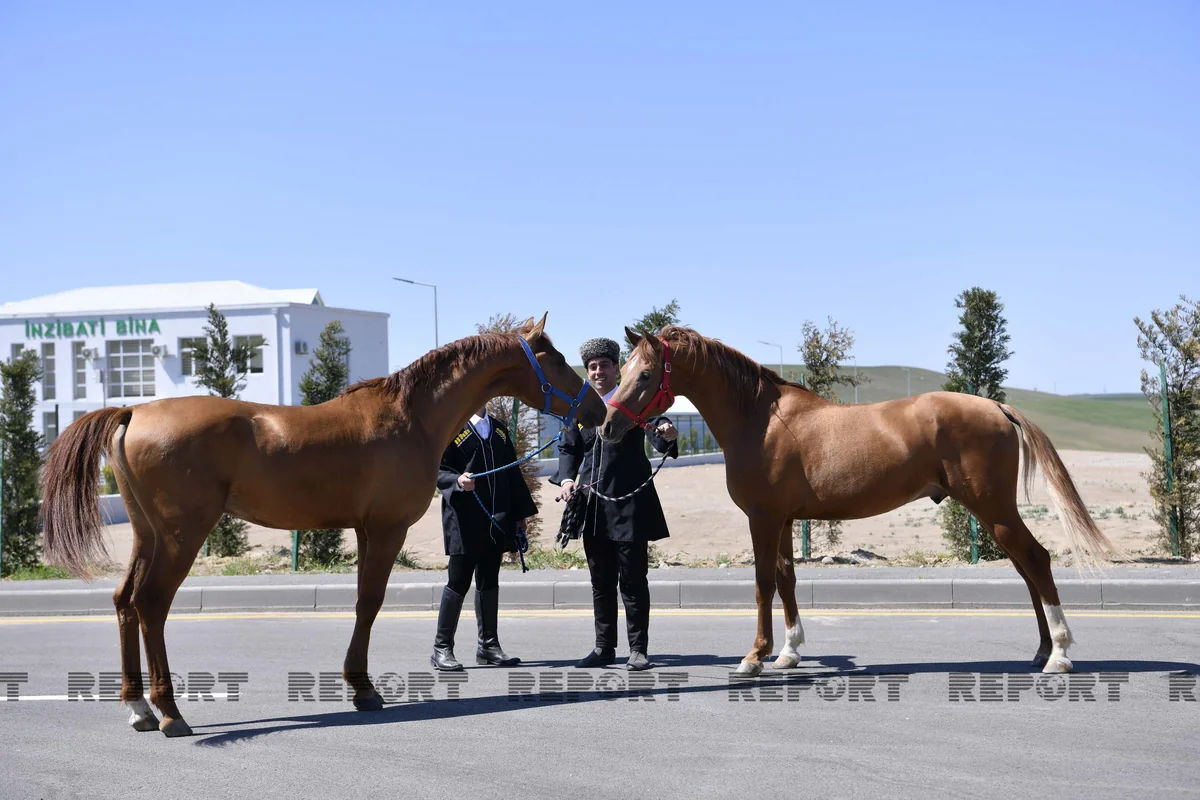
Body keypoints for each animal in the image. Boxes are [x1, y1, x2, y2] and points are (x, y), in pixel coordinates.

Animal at [41, 314, 606, 737]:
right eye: (555, 357)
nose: (598, 408)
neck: (411, 416)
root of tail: (133, 412)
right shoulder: (386, 529)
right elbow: (369, 603)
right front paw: (364, 689)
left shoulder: (364, 530)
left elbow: (362, 603)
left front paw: (359, 685)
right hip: (182, 536)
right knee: (151, 603)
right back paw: (170, 713)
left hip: (148, 534)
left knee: (124, 601)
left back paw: (138, 707)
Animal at [602, 325, 1120, 678]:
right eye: (622, 370)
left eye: (645, 373)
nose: (607, 426)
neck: (760, 420)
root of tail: (996, 406)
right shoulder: (784, 521)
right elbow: (787, 581)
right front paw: (789, 652)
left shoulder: (763, 520)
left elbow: (763, 584)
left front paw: (754, 656)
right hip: (994, 513)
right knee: (1027, 568)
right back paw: (1041, 651)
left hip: (994, 509)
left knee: (1036, 561)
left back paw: (1059, 654)